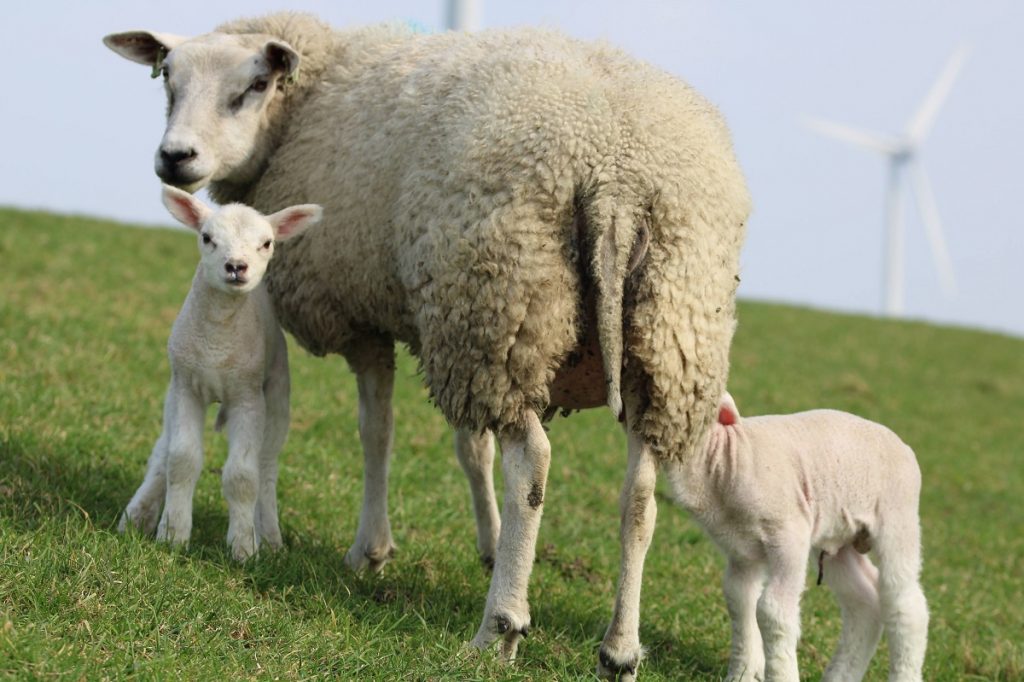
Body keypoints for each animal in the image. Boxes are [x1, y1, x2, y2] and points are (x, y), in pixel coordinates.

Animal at [118, 184, 322, 561]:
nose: (236, 266)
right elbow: (181, 460)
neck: (217, 340)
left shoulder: (247, 397)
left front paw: (244, 548)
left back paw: (270, 538)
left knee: (266, 466)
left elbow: (242, 476)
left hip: (277, 395)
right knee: (162, 450)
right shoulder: (185, 386)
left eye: (267, 243)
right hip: (173, 393)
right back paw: (138, 514)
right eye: (207, 237)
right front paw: (172, 534)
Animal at [664, 393, 928, 682]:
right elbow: (738, 600)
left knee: (905, 603)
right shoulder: (740, 551)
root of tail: (904, 446)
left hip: (897, 518)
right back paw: (839, 675)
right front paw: (743, 672)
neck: (730, 454)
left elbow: (772, 610)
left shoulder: (789, 534)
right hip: (838, 539)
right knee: (864, 603)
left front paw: (780, 673)